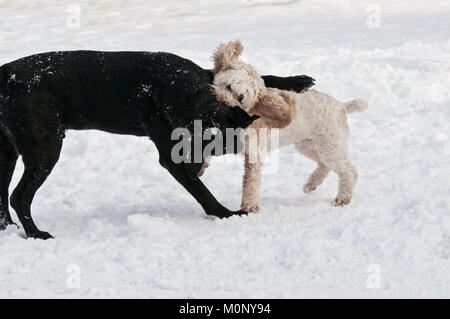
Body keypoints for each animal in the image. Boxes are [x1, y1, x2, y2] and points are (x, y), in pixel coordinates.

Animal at [0, 50, 314, 240]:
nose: (196, 167)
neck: (182, 90)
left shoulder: (206, 76)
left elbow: (264, 81)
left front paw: (297, 80)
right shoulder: (171, 157)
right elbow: (203, 193)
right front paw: (226, 214)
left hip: (9, 152)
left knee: (4, 194)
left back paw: (8, 228)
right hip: (44, 148)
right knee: (19, 196)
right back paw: (35, 233)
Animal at [202, 40, 368, 212]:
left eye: (241, 98)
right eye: (228, 86)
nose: (222, 104)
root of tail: (342, 106)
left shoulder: (254, 153)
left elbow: (250, 182)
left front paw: (249, 206)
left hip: (330, 144)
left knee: (349, 171)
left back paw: (343, 198)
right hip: (308, 145)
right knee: (324, 164)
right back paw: (312, 184)